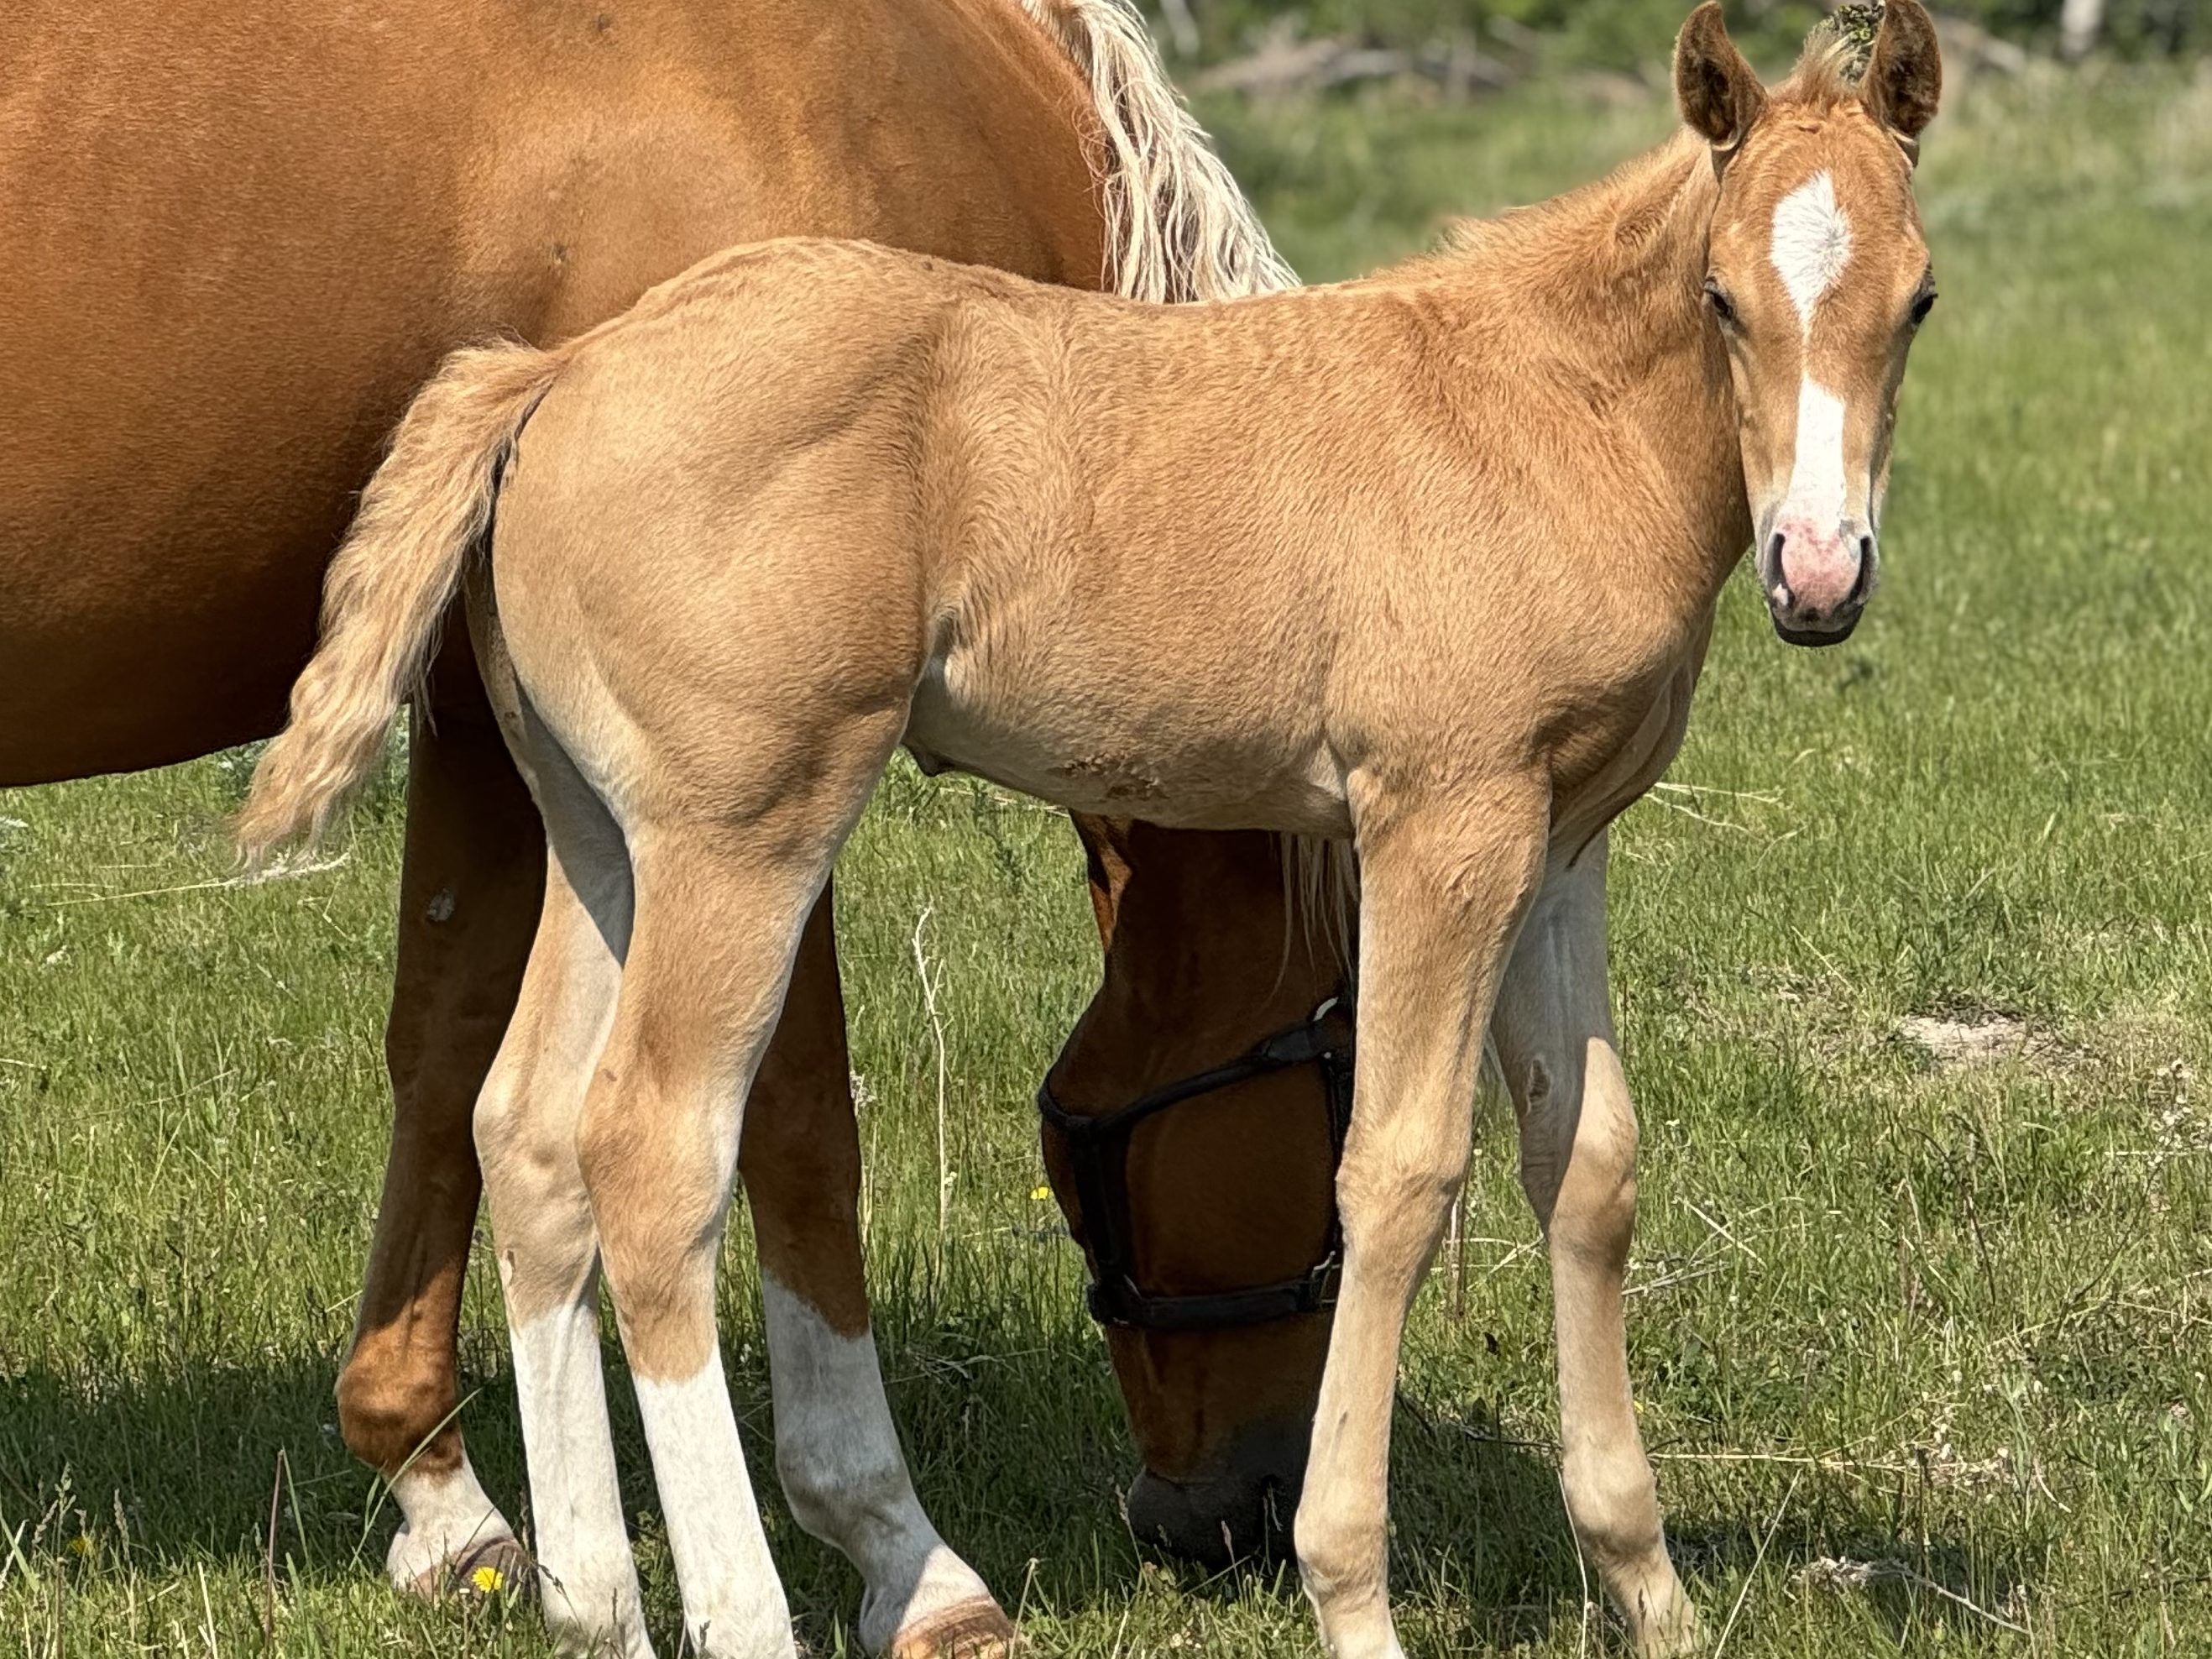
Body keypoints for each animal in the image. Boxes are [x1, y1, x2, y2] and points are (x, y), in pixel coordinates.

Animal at [0, 0, 1356, 1643]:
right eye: (1342, 1083)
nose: (1235, 1514)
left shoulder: (489, 712)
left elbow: (448, 1059)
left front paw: (445, 1497)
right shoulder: (747, 786)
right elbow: (793, 1127)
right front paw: (899, 1556)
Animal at [238, 0, 1944, 1650]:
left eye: (1918, 301)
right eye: (1720, 298)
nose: (1815, 574)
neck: (1541, 411)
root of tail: (559, 371)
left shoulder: (1561, 843)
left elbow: (1584, 1164)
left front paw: (1649, 1595)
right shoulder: (1439, 826)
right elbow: (1398, 1177)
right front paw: (1349, 1592)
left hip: (602, 841)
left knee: (525, 1130)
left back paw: (595, 1601)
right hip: (743, 839)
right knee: (649, 1153)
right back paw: (747, 1611)